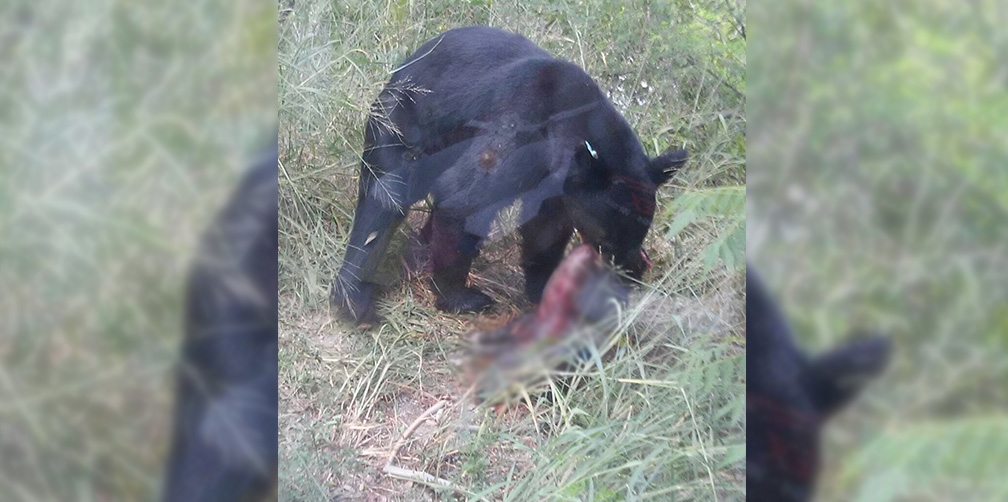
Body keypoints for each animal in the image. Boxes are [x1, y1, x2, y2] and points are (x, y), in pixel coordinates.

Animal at [330, 26, 687, 324]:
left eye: (640, 234)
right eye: (606, 241)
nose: (631, 271)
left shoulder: (558, 187)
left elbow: (545, 230)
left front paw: (545, 289)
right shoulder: (518, 129)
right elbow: (465, 197)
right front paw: (462, 297)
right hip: (401, 122)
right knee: (384, 200)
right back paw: (354, 297)